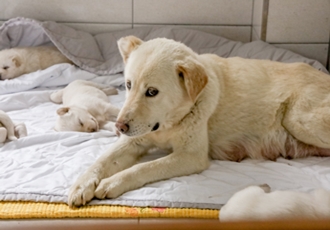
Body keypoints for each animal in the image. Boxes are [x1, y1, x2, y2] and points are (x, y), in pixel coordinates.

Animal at [67, 35, 330, 207]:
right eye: (128, 85)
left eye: (152, 92)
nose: (119, 126)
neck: (169, 123)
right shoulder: (133, 141)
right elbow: (100, 161)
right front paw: (81, 185)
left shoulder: (190, 156)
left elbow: (143, 167)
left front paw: (112, 182)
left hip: (299, 120)